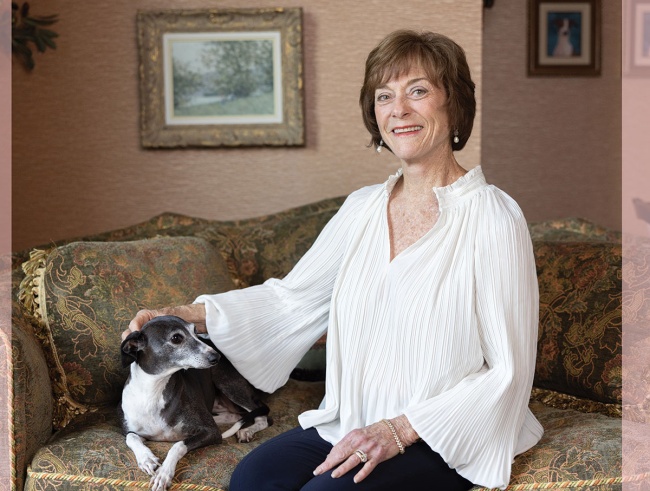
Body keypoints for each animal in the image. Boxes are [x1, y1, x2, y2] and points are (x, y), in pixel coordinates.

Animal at [120, 318, 270, 490]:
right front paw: (146, 459)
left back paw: (247, 431)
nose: (216, 356)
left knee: (262, 416)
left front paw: (163, 474)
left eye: (195, 331)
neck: (153, 391)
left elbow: (177, 445)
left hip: (228, 385)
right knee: (233, 415)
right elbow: (131, 437)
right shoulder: (131, 430)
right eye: (176, 338)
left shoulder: (212, 432)